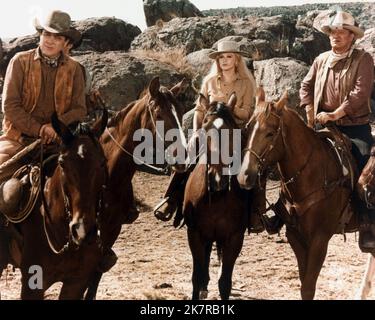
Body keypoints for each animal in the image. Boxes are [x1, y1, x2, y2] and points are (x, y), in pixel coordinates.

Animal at [83, 76, 187, 298]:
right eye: (158, 114)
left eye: (182, 112)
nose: (181, 157)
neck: (108, 176)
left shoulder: (112, 228)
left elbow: (95, 272)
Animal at [183, 94, 248, 300]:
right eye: (205, 128)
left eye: (232, 130)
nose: (217, 178)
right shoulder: (194, 233)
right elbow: (195, 276)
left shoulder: (234, 237)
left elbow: (225, 282)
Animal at [238, 88, 362, 300]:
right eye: (247, 129)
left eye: (270, 133)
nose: (245, 175)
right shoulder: (295, 236)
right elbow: (305, 284)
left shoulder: (320, 239)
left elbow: (309, 287)